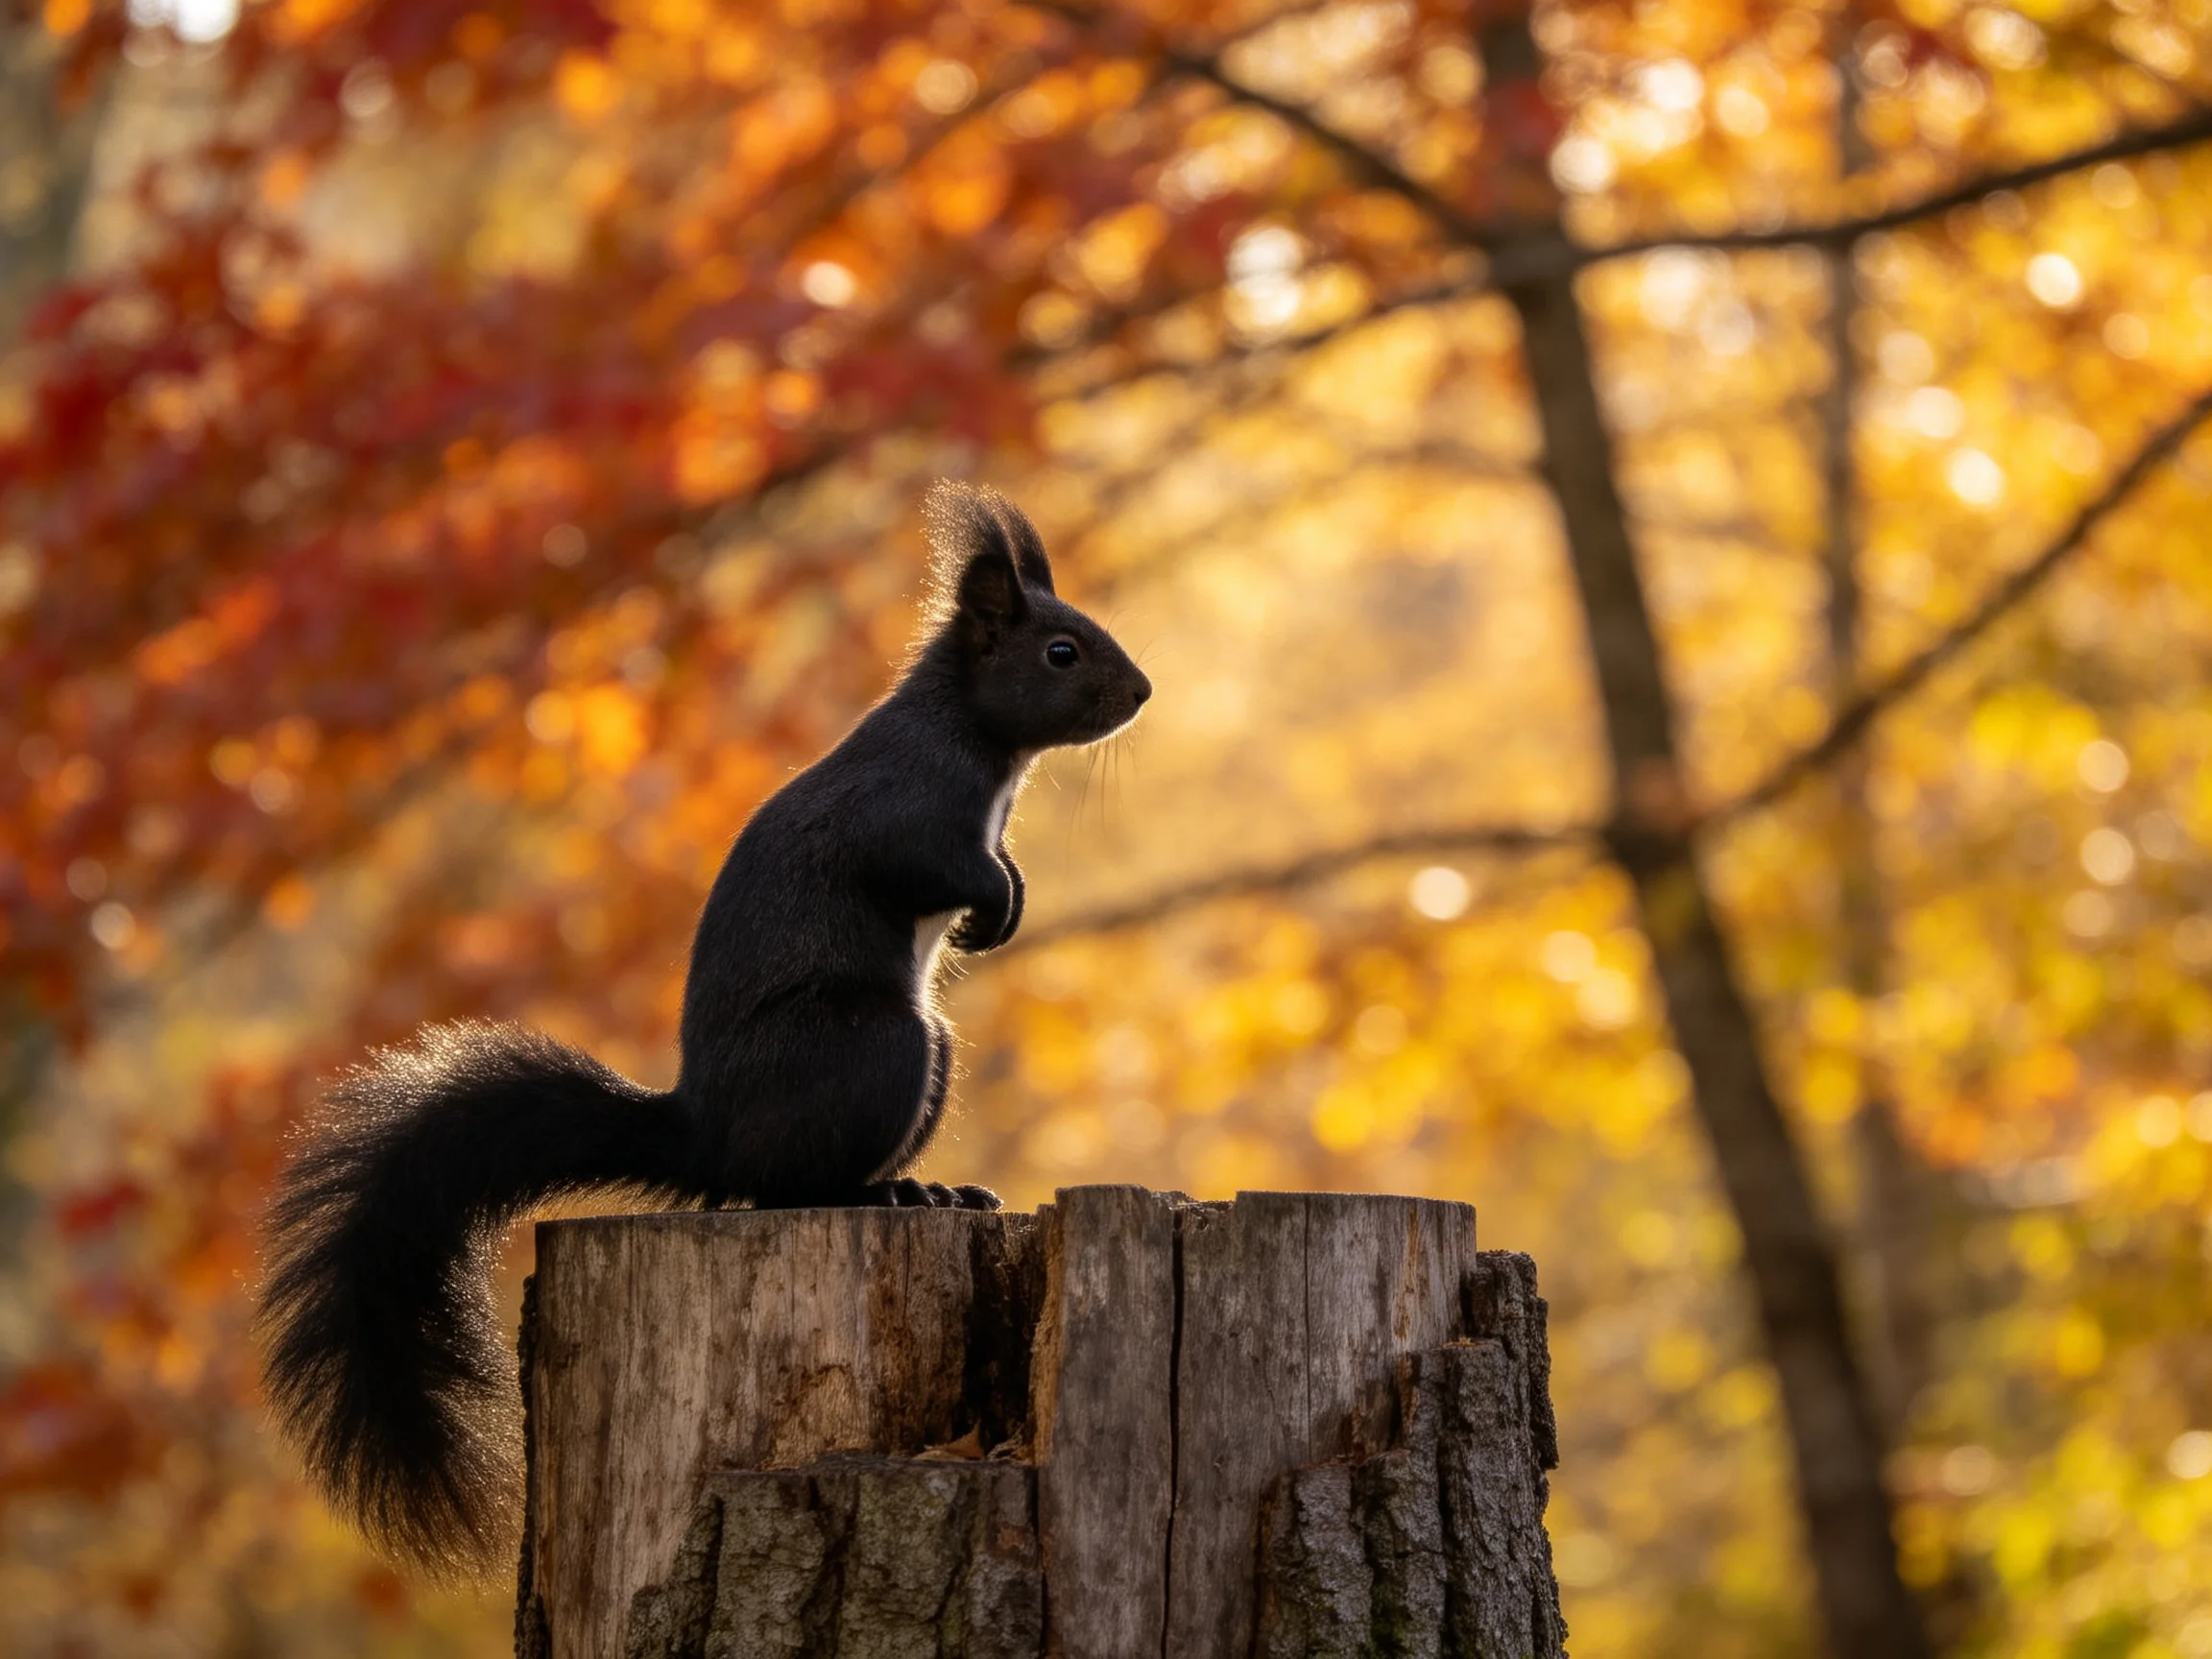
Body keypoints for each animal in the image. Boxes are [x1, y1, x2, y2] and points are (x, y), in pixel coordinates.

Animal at [256, 481, 1151, 1575]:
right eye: (1061, 651)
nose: (1142, 690)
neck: (977, 742)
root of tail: (701, 1131)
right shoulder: (904, 811)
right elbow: (936, 864)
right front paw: (994, 905)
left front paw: (1010, 900)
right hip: (880, 1046)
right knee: (780, 1190)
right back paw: (881, 1195)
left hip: (924, 1054)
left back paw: (925, 1189)